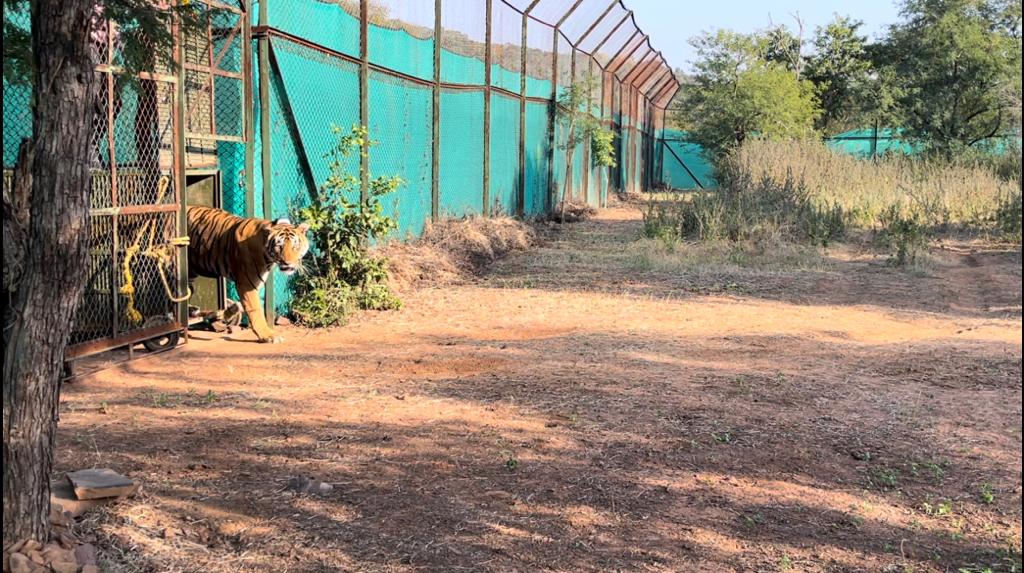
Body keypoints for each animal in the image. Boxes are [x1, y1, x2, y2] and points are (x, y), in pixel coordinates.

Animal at [186, 206, 310, 343]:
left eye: (295, 246)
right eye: (279, 246)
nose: (287, 263)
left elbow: (239, 305)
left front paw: (224, 313)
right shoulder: (247, 284)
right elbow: (255, 310)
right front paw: (268, 335)